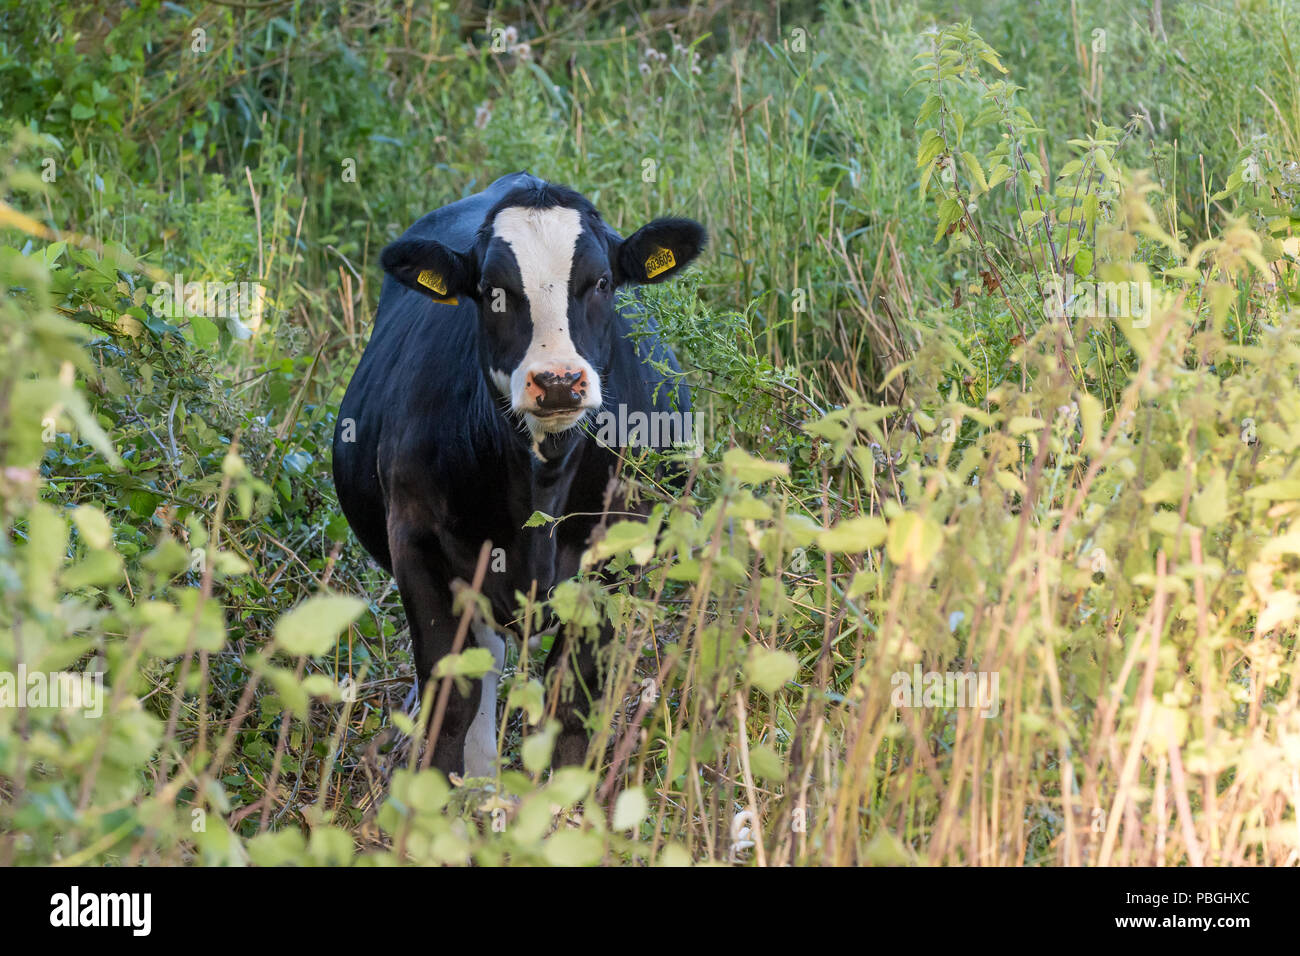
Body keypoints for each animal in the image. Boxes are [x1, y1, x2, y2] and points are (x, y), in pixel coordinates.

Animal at [330, 171, 707, 780]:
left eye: (602, 282)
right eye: (491, 290)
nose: (557, 382)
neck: (542, 479)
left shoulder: (614, 557)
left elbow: (571, 700)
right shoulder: (416, 543)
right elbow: (450, 701)